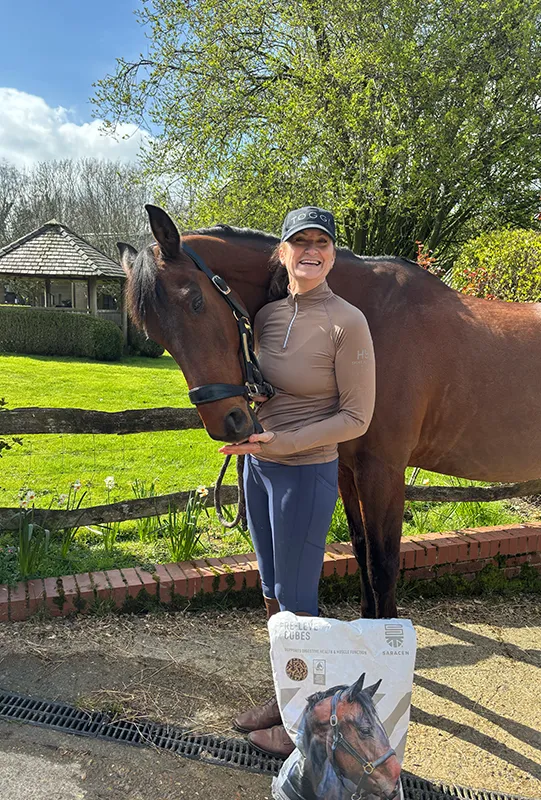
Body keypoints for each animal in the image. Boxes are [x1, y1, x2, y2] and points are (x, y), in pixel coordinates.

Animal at [119, 204, 541, 618]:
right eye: (154, 332)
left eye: (196, 302)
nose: (229, 423)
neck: (370, 323)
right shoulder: (346, 469)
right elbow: (360, 550)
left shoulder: (384, 470)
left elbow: (382, 565)